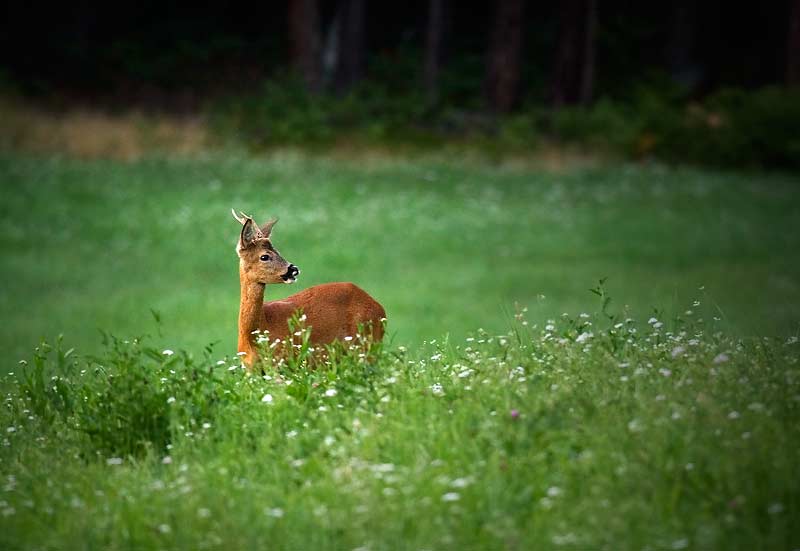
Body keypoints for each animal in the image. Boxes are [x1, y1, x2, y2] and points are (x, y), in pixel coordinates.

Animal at [231, 211, 384, 370]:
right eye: (264, 256)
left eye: (278, 251)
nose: (293, 269)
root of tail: (380, 309)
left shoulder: (284, 362)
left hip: (366, 344)